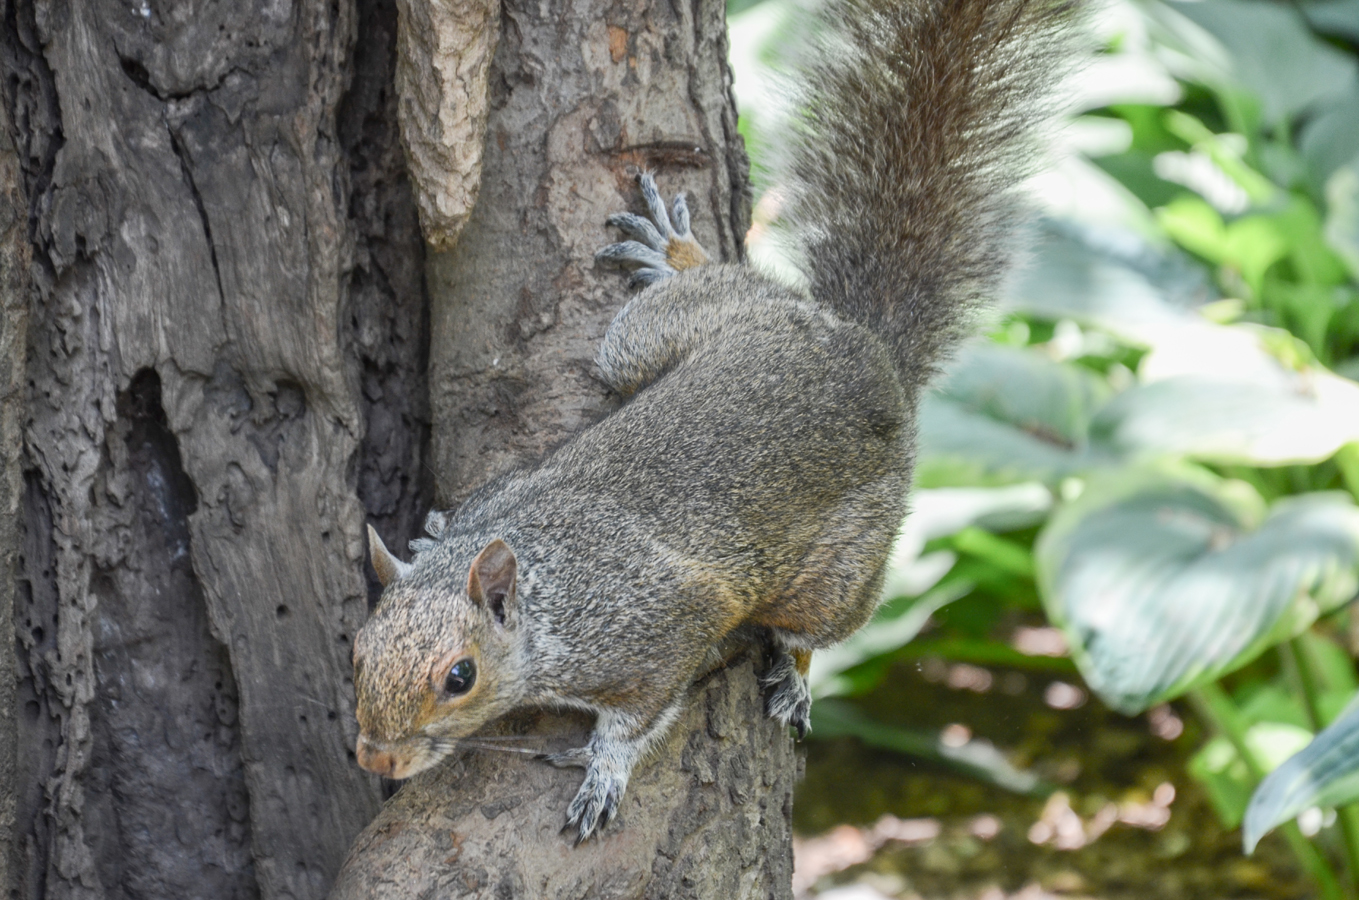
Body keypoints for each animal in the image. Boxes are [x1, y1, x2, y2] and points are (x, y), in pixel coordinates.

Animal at [347, 0, 1081, 848]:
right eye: (358, 649)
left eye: (459, 677)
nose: (376, 759)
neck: (549, 589)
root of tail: (860, 350)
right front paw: (426, 538)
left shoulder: (660, 631)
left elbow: (635, 719)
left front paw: (603, 771)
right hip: (659, 337)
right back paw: (674, 253)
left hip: (840, 568)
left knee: (813, 629)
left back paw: (794, 678)